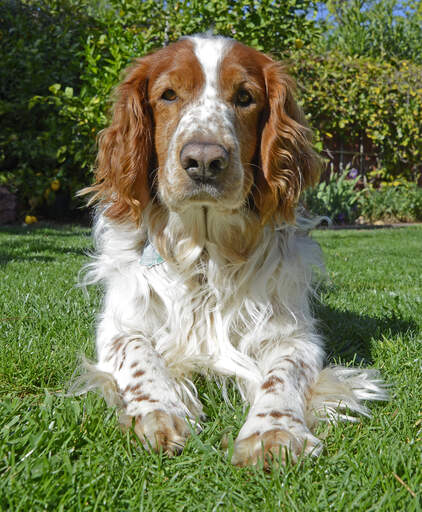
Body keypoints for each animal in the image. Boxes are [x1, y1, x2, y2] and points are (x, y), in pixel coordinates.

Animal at [77, 33, 388, 468]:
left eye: (245, 97)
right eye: (168, 94)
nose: (204, 160)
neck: (206, 252)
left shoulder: (294, 336)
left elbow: (282, 375)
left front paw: (273, 431)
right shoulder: (119, 325)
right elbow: (138, 354)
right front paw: (159, 411)